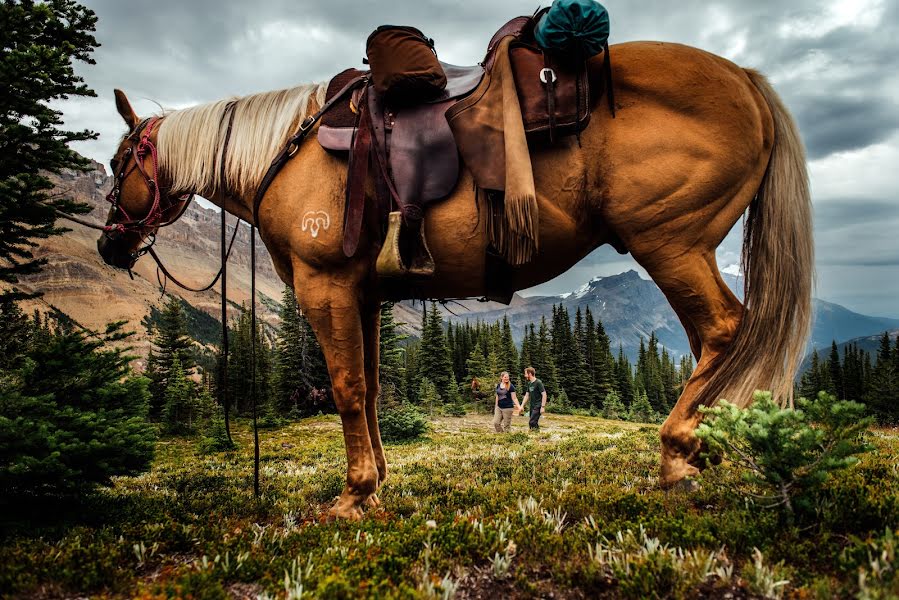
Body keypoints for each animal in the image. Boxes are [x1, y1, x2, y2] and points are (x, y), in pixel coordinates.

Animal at [98, 41, 816, 520]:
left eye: (117, 161)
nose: (109, 245)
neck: (284, 154)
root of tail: (746, 79)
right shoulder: (363, 295)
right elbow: (372, 388)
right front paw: (377, 482)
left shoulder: (325, 285)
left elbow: (345, 388)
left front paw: (353, 496)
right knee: (710, 342)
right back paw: (702, 450)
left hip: (672, 245)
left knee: (723, 330)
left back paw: (676, 453)